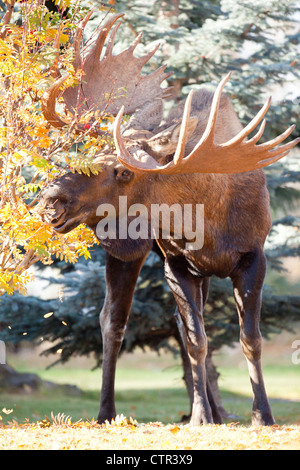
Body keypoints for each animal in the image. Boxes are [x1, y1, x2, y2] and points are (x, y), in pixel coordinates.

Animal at [39, 13, 298, 426]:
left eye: (123, 172)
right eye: (94, 155)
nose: (52, 199)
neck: (207, 219)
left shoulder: (253, 257)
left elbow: (249, 339)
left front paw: (262, 415)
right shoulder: (176, 262)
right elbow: (196, 340)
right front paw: (200, 417)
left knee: (179, 323)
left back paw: (216, 409)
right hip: (128, 251)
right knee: (113, 320)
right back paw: (107, 411)